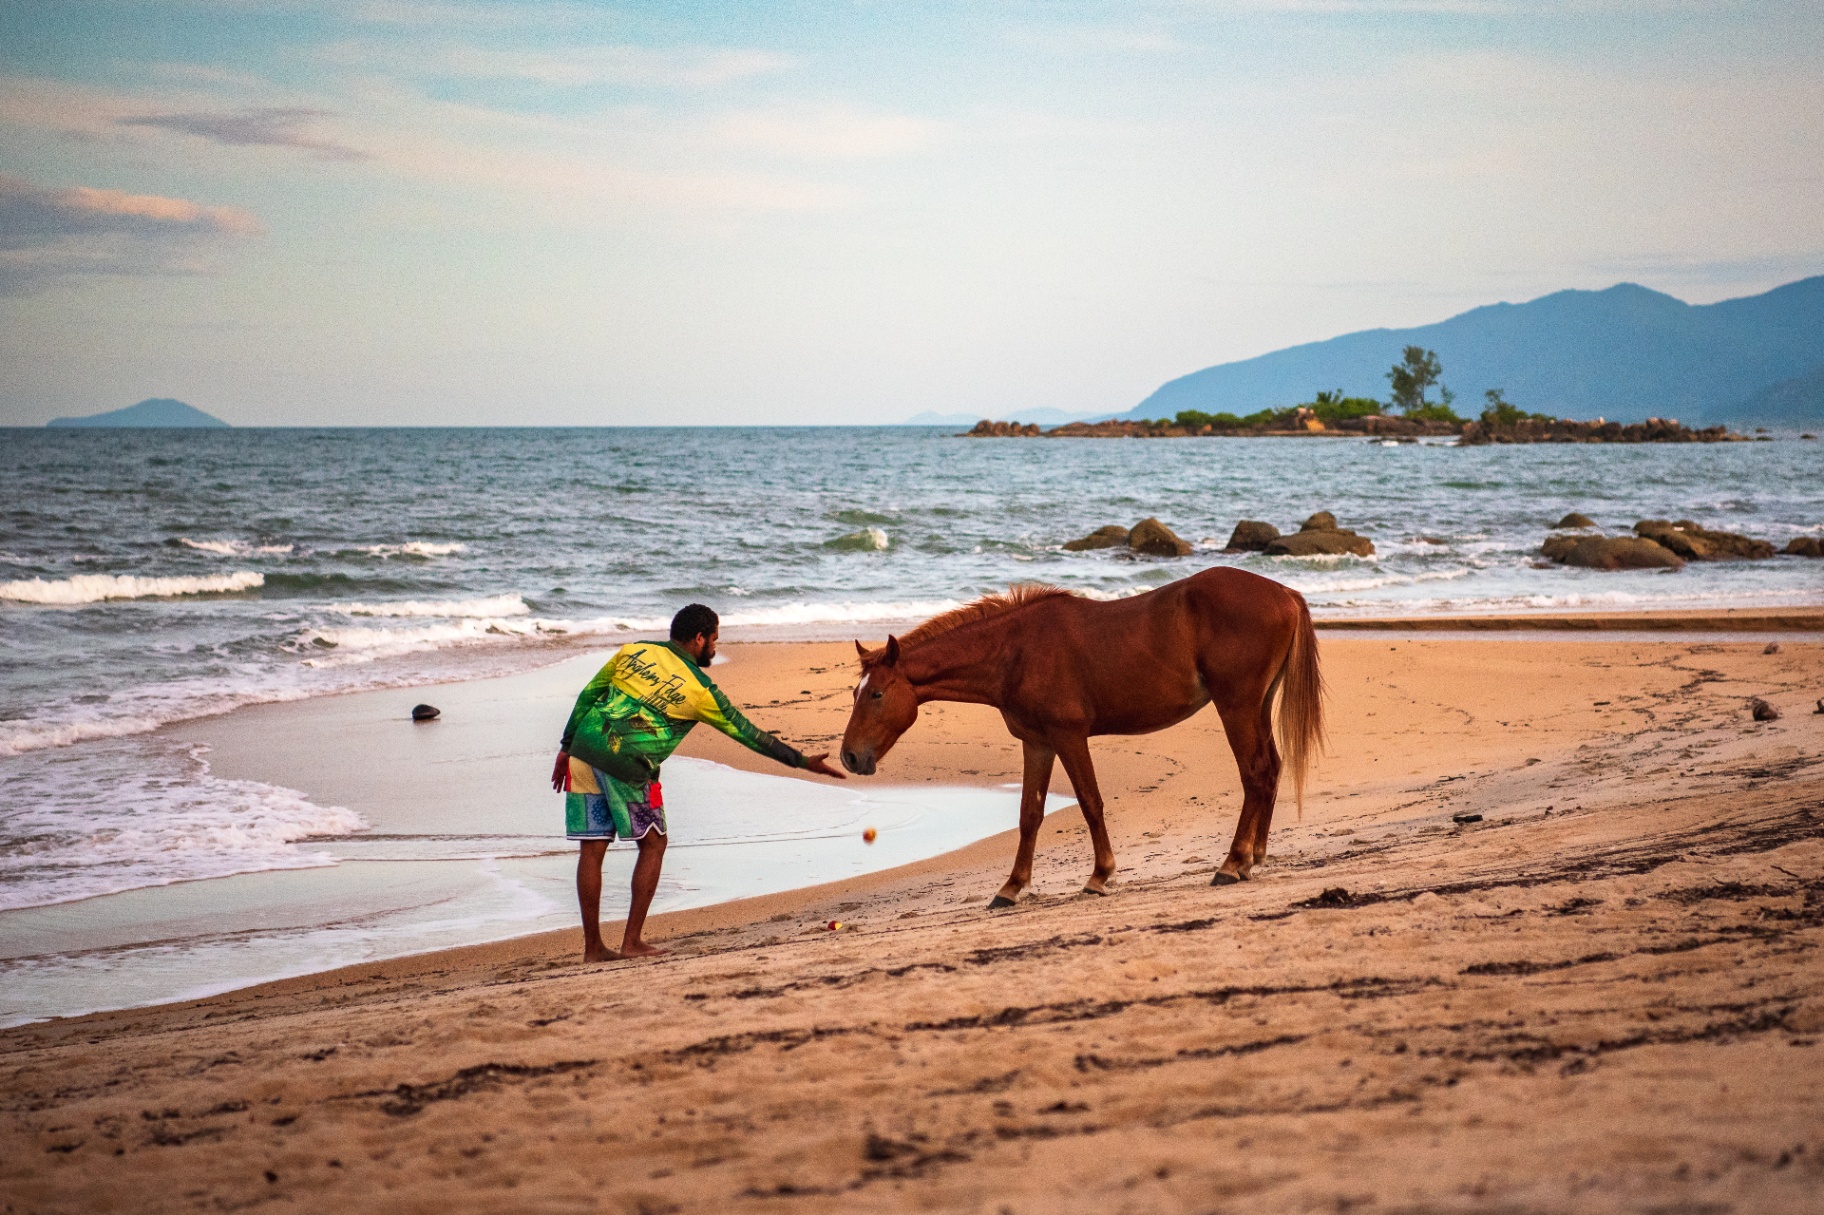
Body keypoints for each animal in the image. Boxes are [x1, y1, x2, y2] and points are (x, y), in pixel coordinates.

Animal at [839, 567, 1323, 906]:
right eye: (855, 692)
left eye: (877, 693)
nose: (849, 757)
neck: (1016, 650)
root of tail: (1285, 594)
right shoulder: (1037, 743)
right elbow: (1029, 814)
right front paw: (1012, 887)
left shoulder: (1068, 736)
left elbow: (1090, 802)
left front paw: (1099, 876)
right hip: (1257, 705)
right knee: (1270, 770)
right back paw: (1254, 857)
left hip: (1236, 706)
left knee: (1254, 774)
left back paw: (1232, 862)